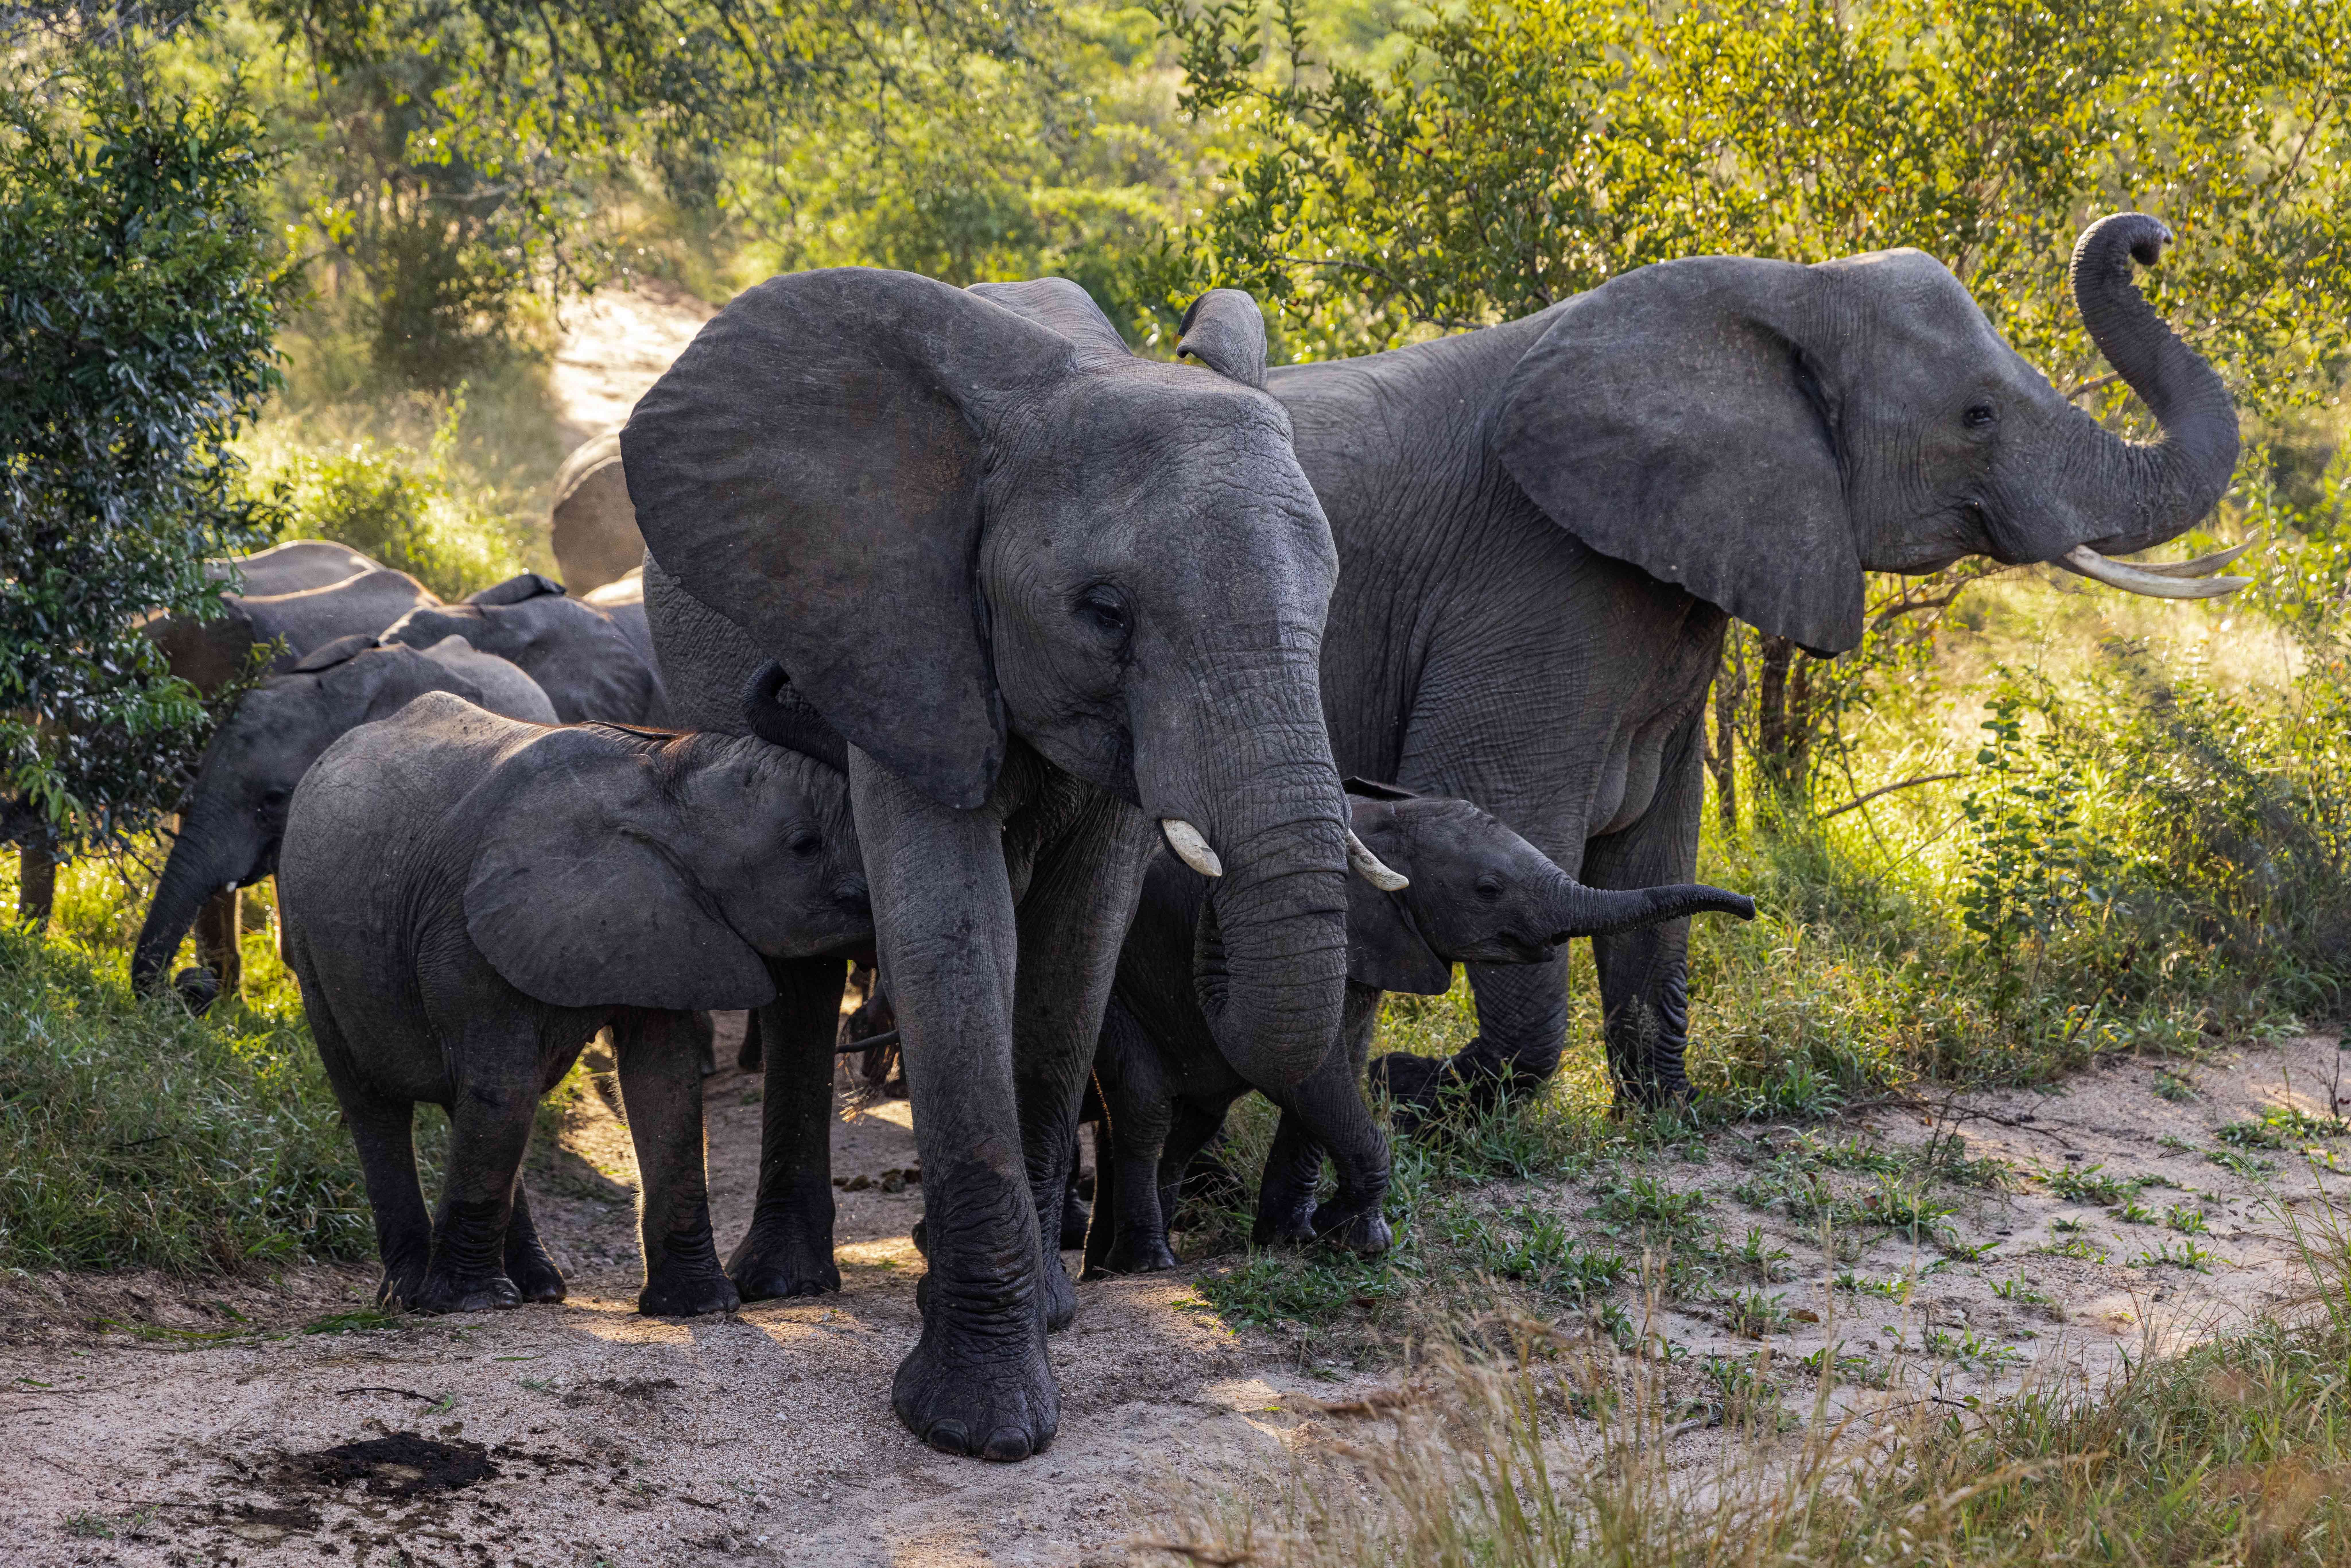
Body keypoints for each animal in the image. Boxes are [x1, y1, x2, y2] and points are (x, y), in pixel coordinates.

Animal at [277, 692, 870, 1315]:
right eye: (804, 844)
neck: (667, 775)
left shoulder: (665, 917)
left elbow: (666, 1084)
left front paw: (698, 1306)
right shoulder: (468, 935)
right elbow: (506, 1085)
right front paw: (473, 1304)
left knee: (465, 1102)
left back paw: (538, 1288)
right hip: (311, 950)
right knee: (383, 1105)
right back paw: (414, 1295)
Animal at [625, 269, 1383, 1461]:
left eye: (1329, 598)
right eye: (1105, 612)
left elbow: (1078, 948)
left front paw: (1050, 1314)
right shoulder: (901, 633)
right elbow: (951, 927)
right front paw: (978, 1423)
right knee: (801, 974)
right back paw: (789, 1279)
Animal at [1085, 782, 1754, 1276]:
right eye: (1488, 890)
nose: (1748, 907)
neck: (1384, 821)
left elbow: (1338, 1065)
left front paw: (1298, 1236)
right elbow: (1309, 1076)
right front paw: (1351, 1236)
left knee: (1189, 1122)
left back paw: (1110, 1262)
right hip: (1114, 995)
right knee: (1145, 1109)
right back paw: (1146, 1264)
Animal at [1243, 212, 2245, 1116]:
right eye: (1979, 416)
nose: (2150, 241)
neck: (1783, 291)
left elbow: (1656, 836)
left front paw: (1668, 1114)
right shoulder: (1529, 577)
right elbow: (1500, 808)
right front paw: (1411, 1093)